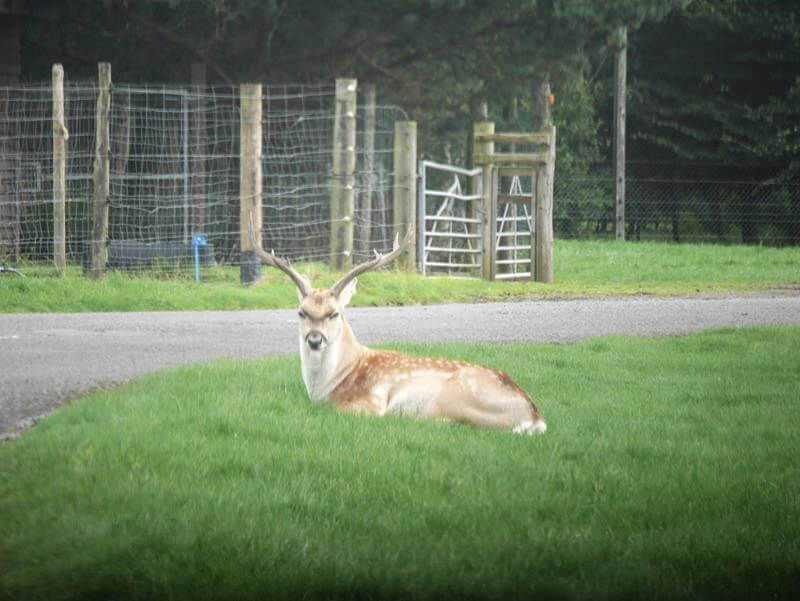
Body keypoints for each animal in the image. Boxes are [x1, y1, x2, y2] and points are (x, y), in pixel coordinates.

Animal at [253, 227, 548, 434]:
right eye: (301, 312)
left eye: (334, 313)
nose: (314, 340)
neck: (327, 385)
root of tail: (535, 417)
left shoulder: (369, 401)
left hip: (457, 397)